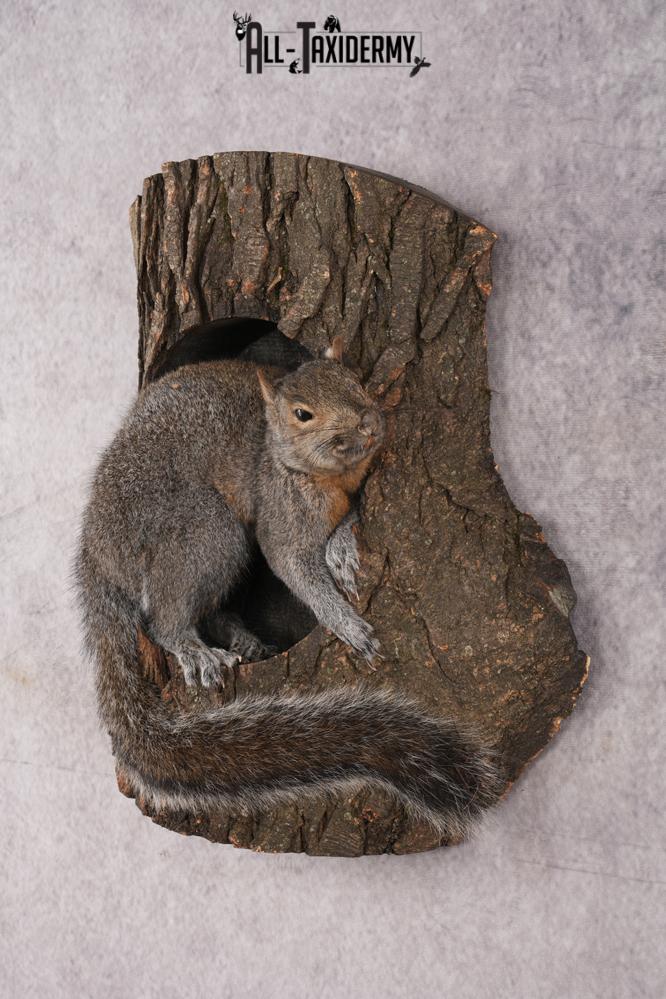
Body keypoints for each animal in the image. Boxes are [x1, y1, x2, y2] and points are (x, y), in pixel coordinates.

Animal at [75, 334, 501, 837]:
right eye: (302, 414)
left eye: (354, 381)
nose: (367, 422)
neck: (326, 474)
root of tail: (98, 553)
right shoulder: (282, 512)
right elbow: (294, 566)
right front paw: (347, 625)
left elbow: (350, 522)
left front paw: (342, 546)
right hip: (204, 532)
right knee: (165, 617)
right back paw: (192, 649)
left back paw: (244, 639)